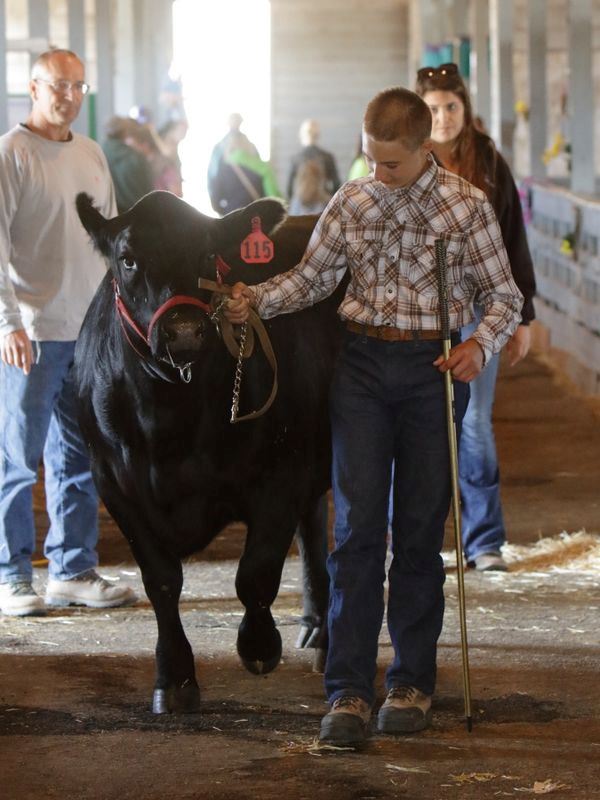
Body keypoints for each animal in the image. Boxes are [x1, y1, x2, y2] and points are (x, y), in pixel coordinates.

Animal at [74, 190, 345, 714]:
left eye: (206, 255)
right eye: (128, 259)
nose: (183, 332)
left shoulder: (281, 474)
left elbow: (255, 573)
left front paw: (258, 646)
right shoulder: (114, 483)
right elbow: (161, 581)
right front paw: (174, 677)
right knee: (313, 528)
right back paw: (317, 626)